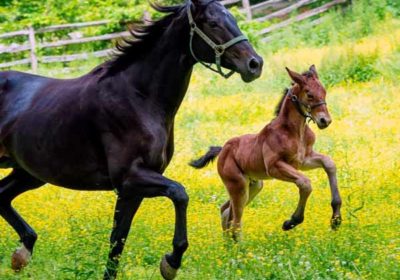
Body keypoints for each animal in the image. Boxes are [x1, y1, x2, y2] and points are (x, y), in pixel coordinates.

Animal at [0, 0, 262, 278]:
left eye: (232, 18)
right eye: (212, 23)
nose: (255, 64)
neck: (139, 99)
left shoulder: (131, 192)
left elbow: (117, 244)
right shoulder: (129, 178)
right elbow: (179, 193)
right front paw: (171, 261)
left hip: (30, 173)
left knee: (2, 195)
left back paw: (21, 254)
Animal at [190, 65, 340, 238]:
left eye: (324, 91)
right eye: (309, 94)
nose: (325, 120)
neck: (295, 131)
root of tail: (222, 151)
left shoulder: (303, 160)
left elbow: (329, 163)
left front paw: (336, 219)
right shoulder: (274, 167)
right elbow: (305, 183)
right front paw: (291, 222)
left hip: (254, 185)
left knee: (226, 210)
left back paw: (227, 243)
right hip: (238, 186)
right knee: (235, 220)